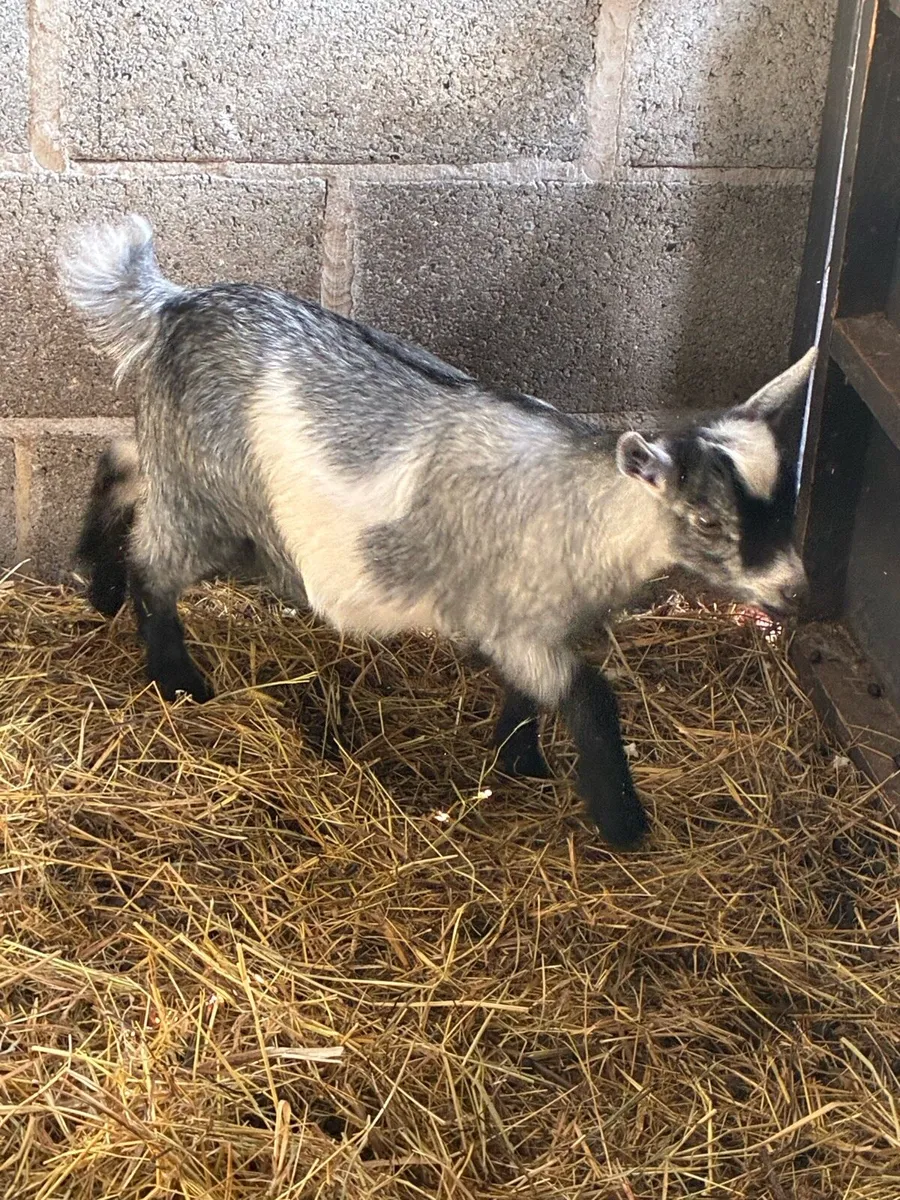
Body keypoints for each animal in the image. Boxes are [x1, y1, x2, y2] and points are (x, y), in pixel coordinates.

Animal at [60, 214, 814, 850]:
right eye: (708, 519)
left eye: (790, 505)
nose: (795, 590)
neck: (592, 508)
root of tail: (174, 304)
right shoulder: (512, 622)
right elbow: (590, 698)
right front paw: (624, 825)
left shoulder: (536, 627)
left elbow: (529, 695)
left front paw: (518, 760)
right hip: (206, 499)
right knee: (156, 565)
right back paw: (176, 678)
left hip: (178, 459)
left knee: (121, 461)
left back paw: (97, 585)